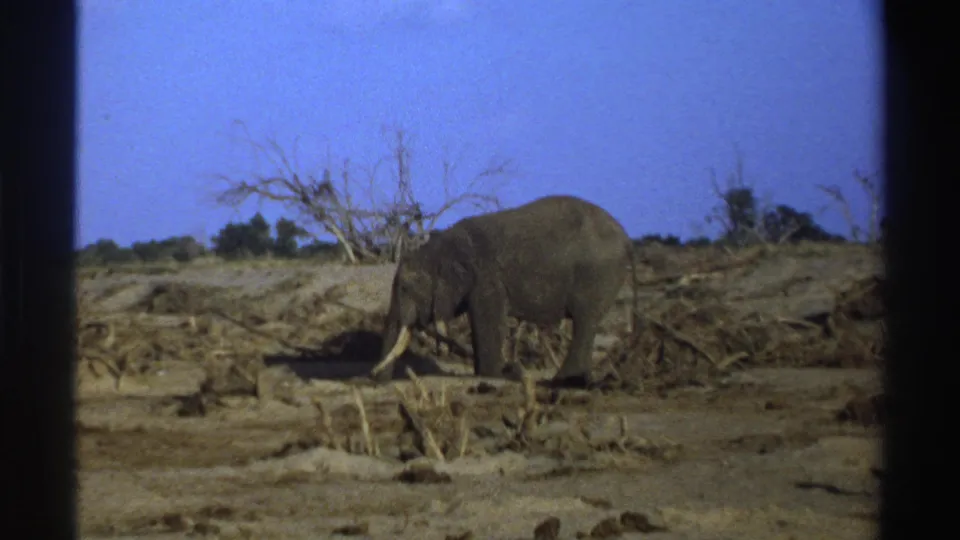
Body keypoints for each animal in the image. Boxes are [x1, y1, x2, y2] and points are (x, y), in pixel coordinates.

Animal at [370, 194, 639, 388]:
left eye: (405, 288)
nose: (375, 380)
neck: (440, 246)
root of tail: (627, 240)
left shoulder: (487, 279)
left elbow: (487, 321)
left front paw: (492, 374)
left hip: (597, 274)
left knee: (584, 321)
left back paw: (565, 381)